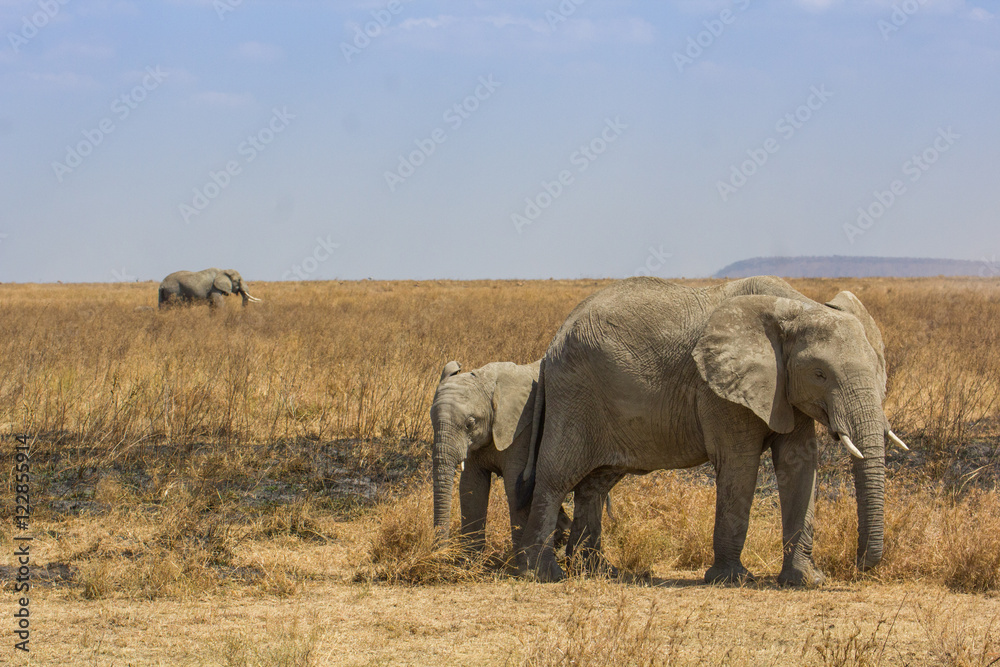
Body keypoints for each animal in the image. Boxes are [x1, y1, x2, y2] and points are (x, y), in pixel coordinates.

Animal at [516, 275, 909, 585]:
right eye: (820, 374)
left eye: (879, 368)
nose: (860, 565)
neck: (798, 307)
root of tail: (552, 343)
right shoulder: (720, 391)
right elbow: (740, 465)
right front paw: (731, 579)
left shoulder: (784, 390)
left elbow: (799, 467)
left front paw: (807, 581)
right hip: (574, 393)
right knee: (556, 476)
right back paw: (544, 574)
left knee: (595, 484)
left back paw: (598, 571)